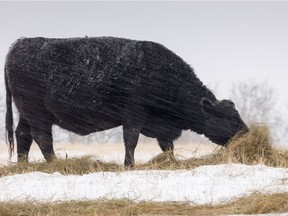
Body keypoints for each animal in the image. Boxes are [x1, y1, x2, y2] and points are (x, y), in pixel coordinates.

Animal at [3, 36, 248, 165]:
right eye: (228, 118)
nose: (247, 133)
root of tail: (22, 43)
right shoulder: (134, 114)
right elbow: (131, 140)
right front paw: (129, 165)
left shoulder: (162, 126)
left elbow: (167, 145)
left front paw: (171, 162)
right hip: (36, 111)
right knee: (42, 137)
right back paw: (56, 163)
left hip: (27, 112)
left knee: (23, 135)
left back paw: (23, 165)